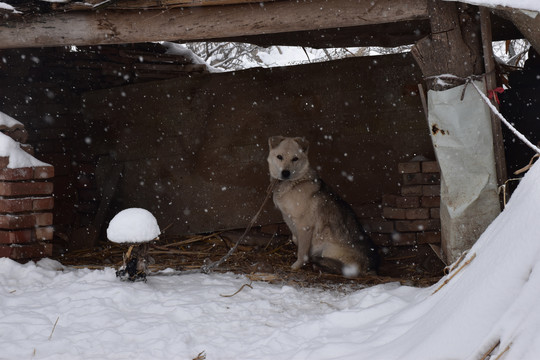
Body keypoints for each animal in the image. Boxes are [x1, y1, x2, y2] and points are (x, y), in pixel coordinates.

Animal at [268, 136, 378, 278]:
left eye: (295, 158)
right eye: (279, 157)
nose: (285, 173)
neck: (295, 183)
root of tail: (371, 268)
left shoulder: (304, 226)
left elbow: (302, 251)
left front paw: (297, 265)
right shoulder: (291, 221)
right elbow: (295, 239)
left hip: (329, 250)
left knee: (342, 269)